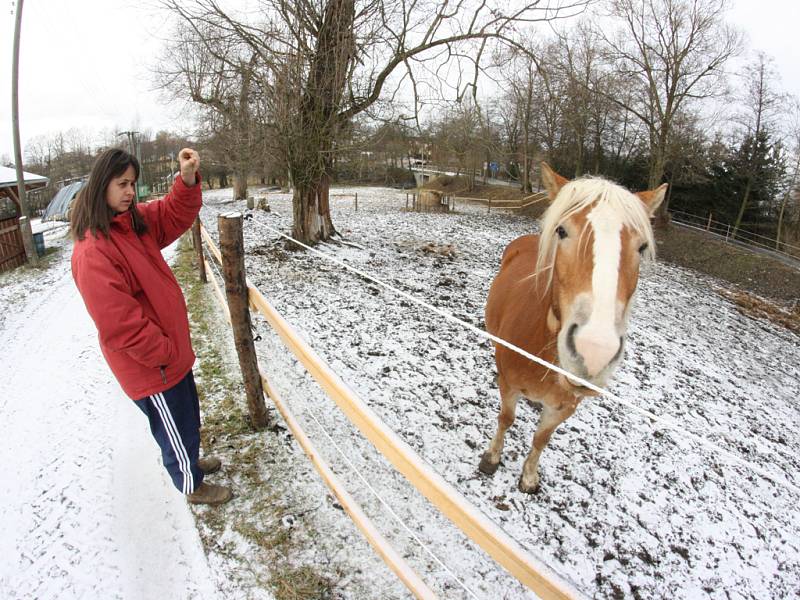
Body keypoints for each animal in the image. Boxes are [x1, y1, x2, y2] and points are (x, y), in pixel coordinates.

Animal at [478, 164, 664, 492]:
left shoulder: (565, 407)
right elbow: (506, 418)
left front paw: (529, 477)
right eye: (562, 231)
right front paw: (491, 458)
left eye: (641, 246)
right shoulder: (509, 386)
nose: (594, 352)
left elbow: (542, 438)